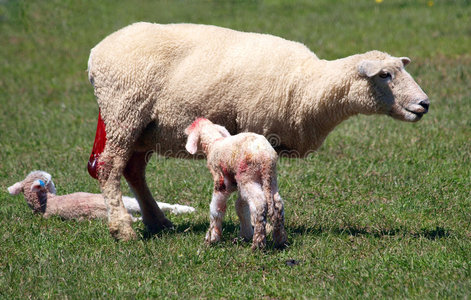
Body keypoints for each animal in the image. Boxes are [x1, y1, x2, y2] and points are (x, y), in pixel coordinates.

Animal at [184, 118, 288, 250]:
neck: (214, 143)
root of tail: (266, 159)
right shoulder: (237, 186)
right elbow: (241, 207)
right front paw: (244, 236)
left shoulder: (221, 182)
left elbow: (216, 208)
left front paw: (212, 238)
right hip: (271, 179)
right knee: (278, 205)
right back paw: (280, 241)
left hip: (248, 176)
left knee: (259, 205)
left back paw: (258, 244)